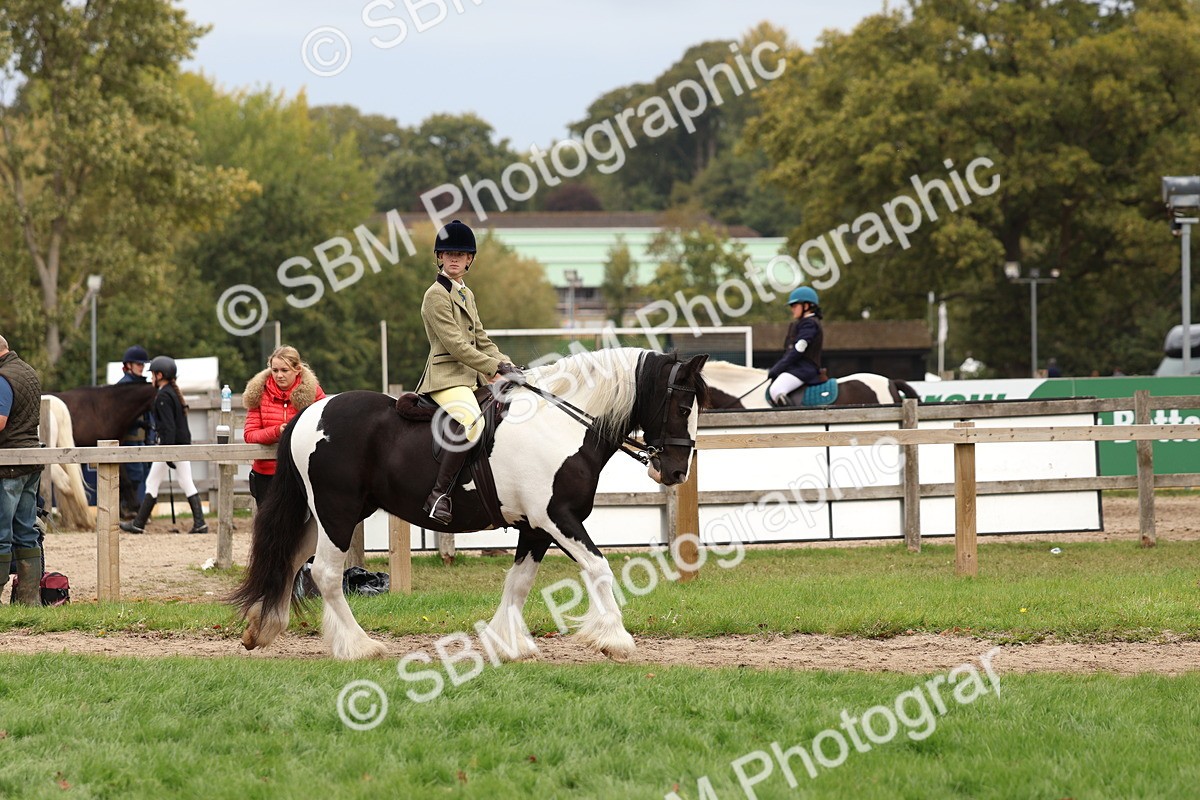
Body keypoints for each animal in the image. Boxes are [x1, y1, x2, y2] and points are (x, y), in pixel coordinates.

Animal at [233, 348, 709, 662]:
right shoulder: (557, 518)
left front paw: (507, 644)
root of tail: (309, 413)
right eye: (684, 406)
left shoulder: (535, 528)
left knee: (290, 559)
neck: (561, 425)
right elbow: (599, 568)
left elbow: (519, 583)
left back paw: (262, 629)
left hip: (320, 515)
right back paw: (359, 646)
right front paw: (615, 639)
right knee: (326, 575)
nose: (676, 472)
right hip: (338, 513)